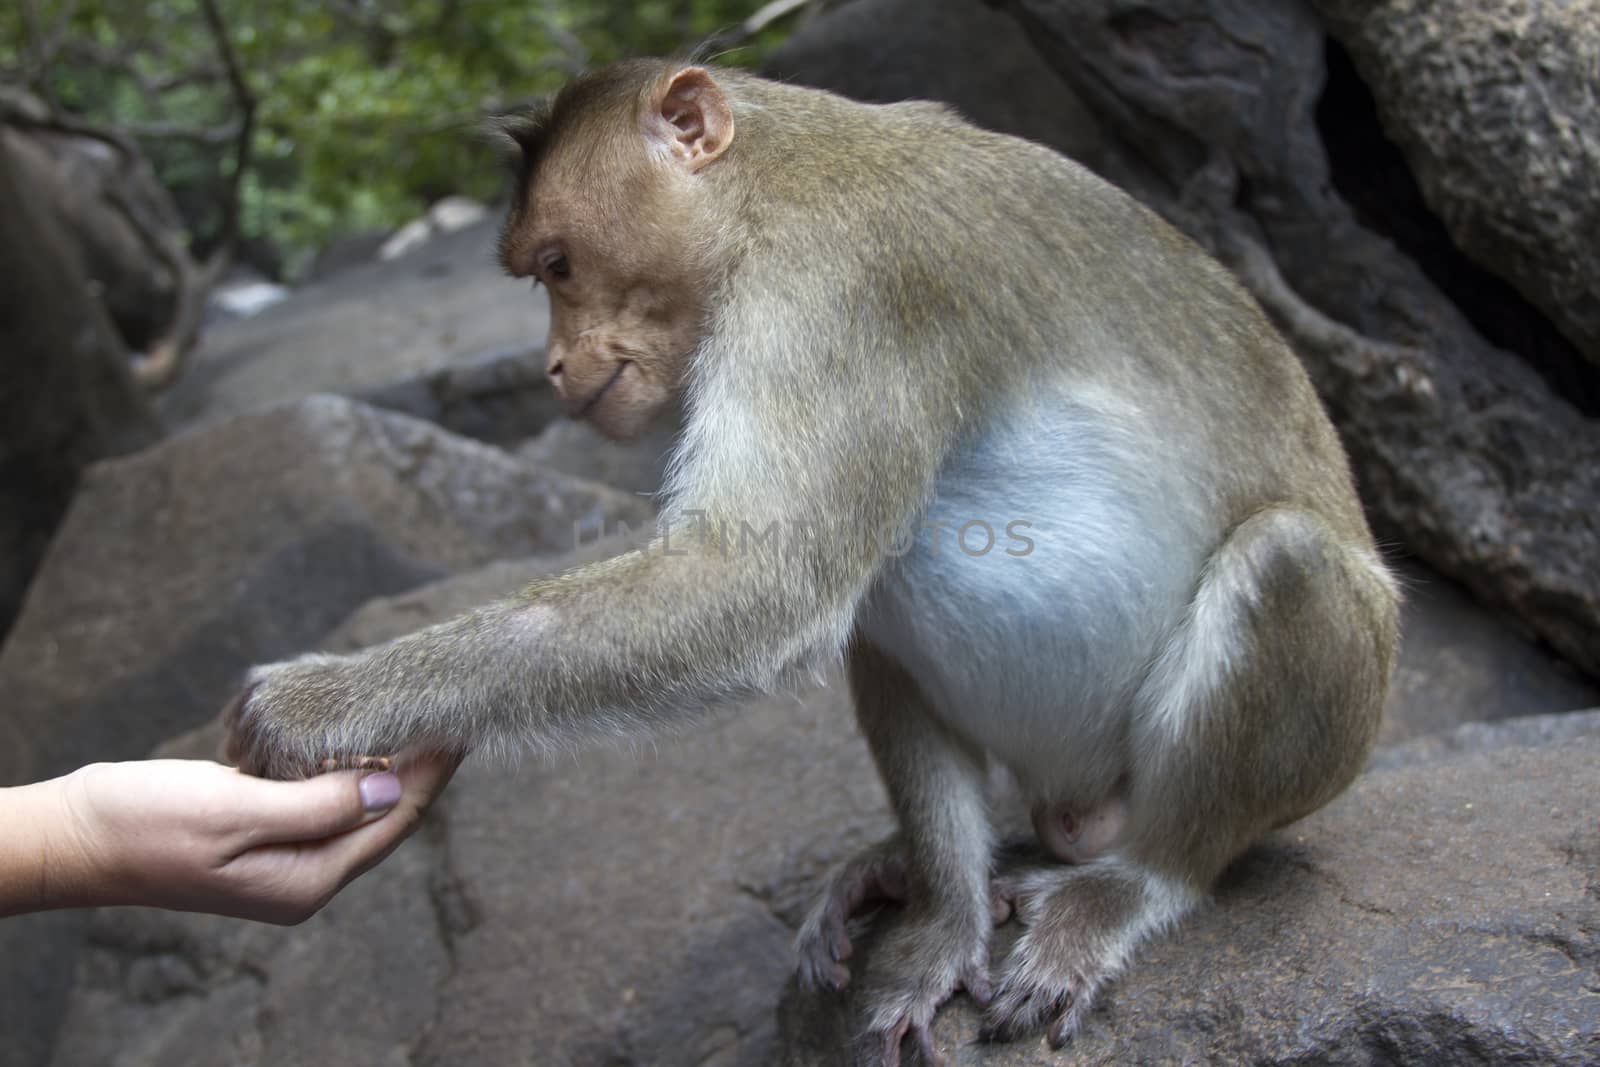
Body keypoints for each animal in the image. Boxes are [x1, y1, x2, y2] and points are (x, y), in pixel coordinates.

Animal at [225, 60, 1401, 1067]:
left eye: (558, 265)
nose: (553, 366)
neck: (767, 183)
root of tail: (1080, 812)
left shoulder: (838, 283)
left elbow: (754, 582)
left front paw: (324, 699)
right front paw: (942, 923)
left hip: (1306, 744)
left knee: (1285, 566)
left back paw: (1128, 885)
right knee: (880, 607)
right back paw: (938, 889)